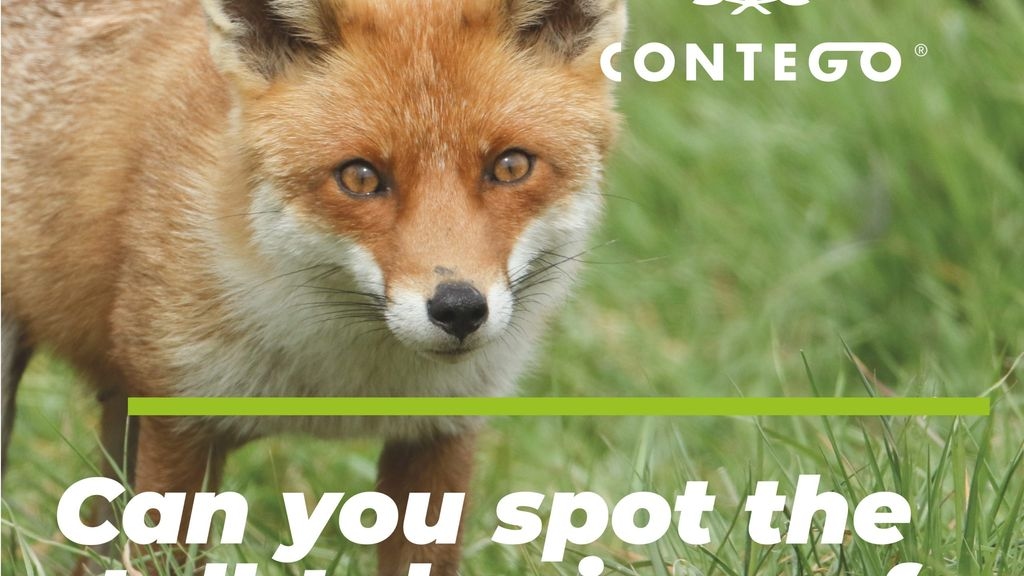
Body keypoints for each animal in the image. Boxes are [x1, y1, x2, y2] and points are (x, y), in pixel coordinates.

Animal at [1, 0, 625, 573]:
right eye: (360, 177)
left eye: (511, 167)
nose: (458, 309)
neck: (339, 382)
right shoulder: (176, 415)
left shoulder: (440, 434)